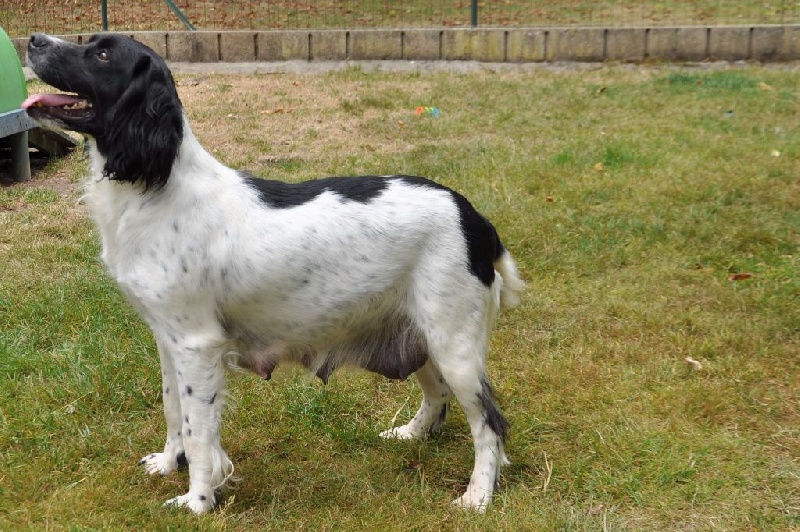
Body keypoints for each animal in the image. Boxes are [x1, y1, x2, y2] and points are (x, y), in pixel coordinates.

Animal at [23, 31, 524, 512]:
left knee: (489, 423)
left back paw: (478, 496)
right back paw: (411, 435)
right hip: (417, 331)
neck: (158, 187)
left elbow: (199, 434)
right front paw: (168, 464)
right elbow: (172, 411)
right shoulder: (168, 338)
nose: (32, 40)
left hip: (453, 342)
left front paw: (197, 501)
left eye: (103, 54)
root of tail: (475, 218)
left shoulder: (197, 344)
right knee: (437, 393)